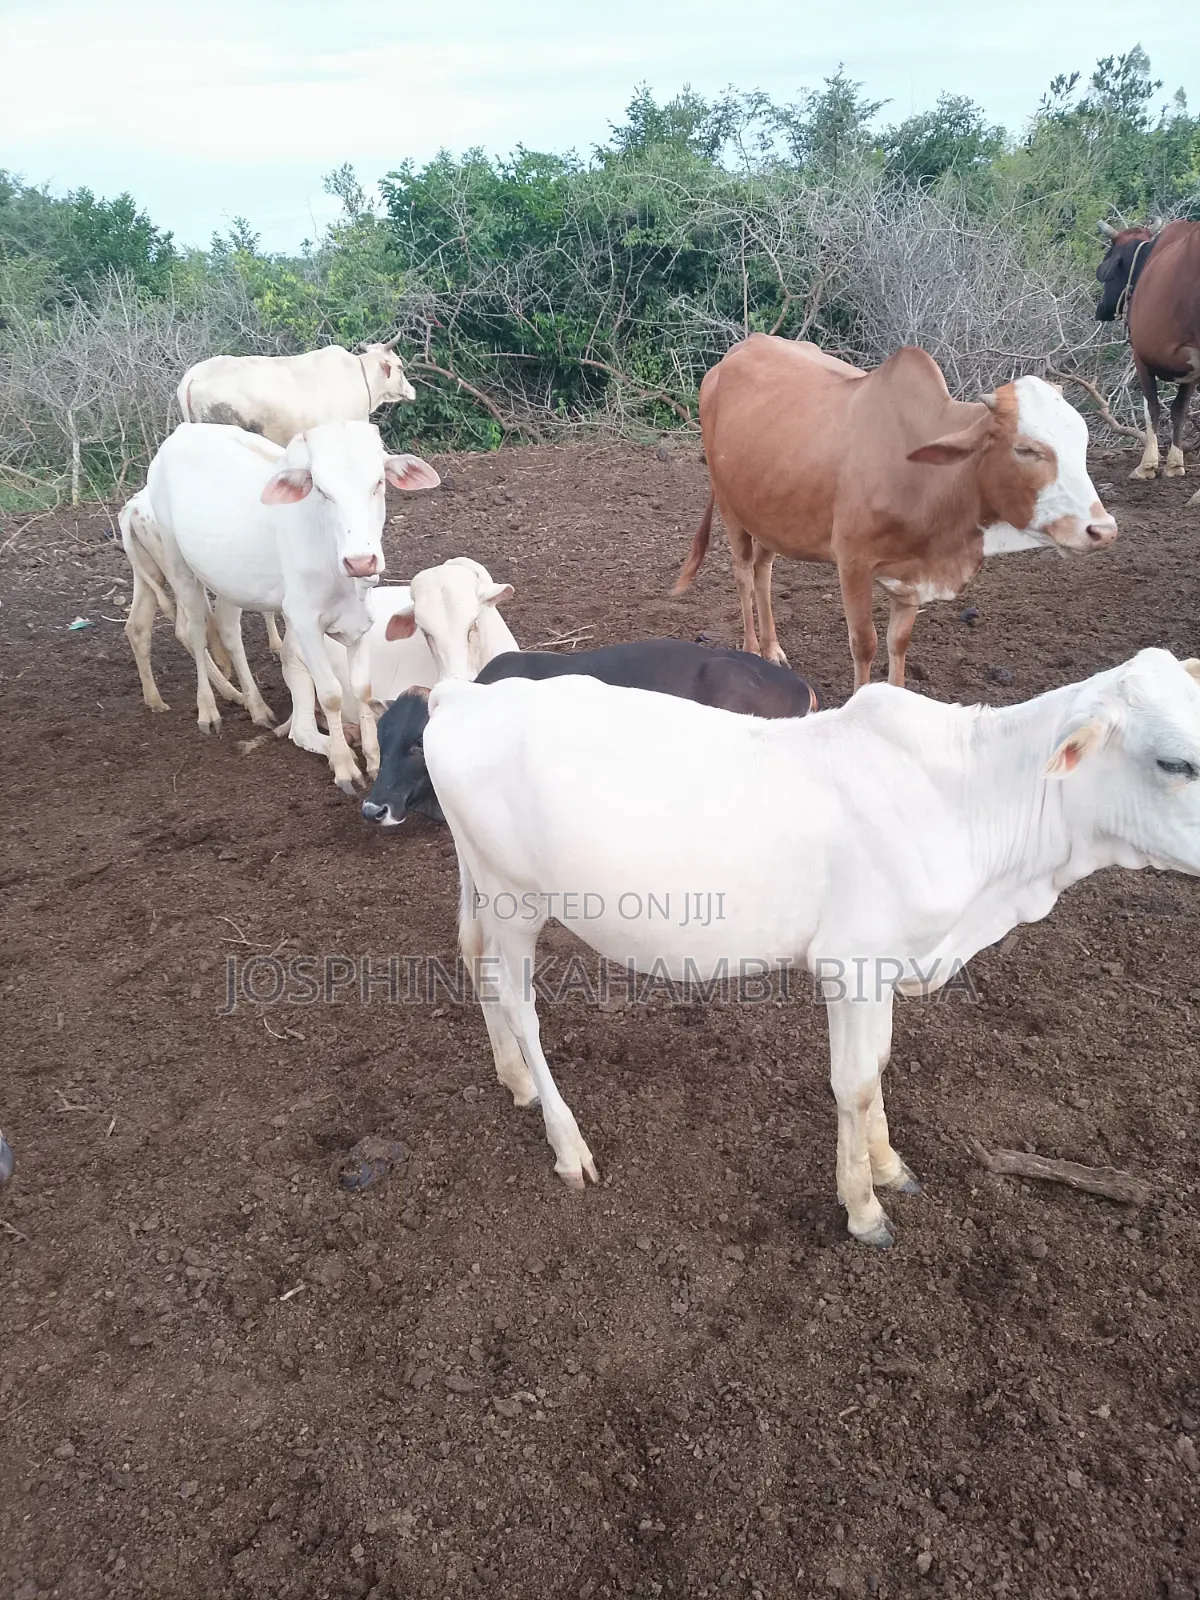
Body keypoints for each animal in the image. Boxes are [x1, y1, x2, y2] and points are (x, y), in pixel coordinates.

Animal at [145, 421, 440, 791]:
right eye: (323, 491)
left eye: (379, 483)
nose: (360, 561)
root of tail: (183, 429)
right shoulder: (304, 621)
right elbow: (330, 694)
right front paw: (345, 767)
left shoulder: (360, 621)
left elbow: (362, 688)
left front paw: (373, 760)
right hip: (178, 563)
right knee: (194, 633)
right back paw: (208, 711)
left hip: (230, 583)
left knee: (229, 631)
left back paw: (257, 707)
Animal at [424, 648, 1200, 1246]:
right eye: (1175, 763)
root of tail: (462, 696)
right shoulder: (849, 963)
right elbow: (852, 1082)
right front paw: (863, 1209)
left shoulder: (883, 960)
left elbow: (878, 1064)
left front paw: (889, 1166)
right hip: (516, 898)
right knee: (518, 1003)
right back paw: (567, 1142)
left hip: (483, 888)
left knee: (475, 963)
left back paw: (515, 1080)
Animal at [672, 335, 1118, 691]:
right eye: (1025, 449)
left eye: (1083, 441)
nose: (1102, 530)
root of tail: (733, 354)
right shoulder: (852, 562)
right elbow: (864, 643)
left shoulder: (911, 578)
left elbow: (897, 643)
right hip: (731, 506)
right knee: (744, 573)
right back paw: (752, 648)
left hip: (770, 510)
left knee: (764, 570)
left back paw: (772, 649)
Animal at [1096, 218, 1200, 497]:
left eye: (1110, 257)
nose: (1101, 310)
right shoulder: (1191, 371)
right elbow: (1179, 410)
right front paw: (1175, 464)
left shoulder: (1141, 358)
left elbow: (1151, 408)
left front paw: (1148, 465)